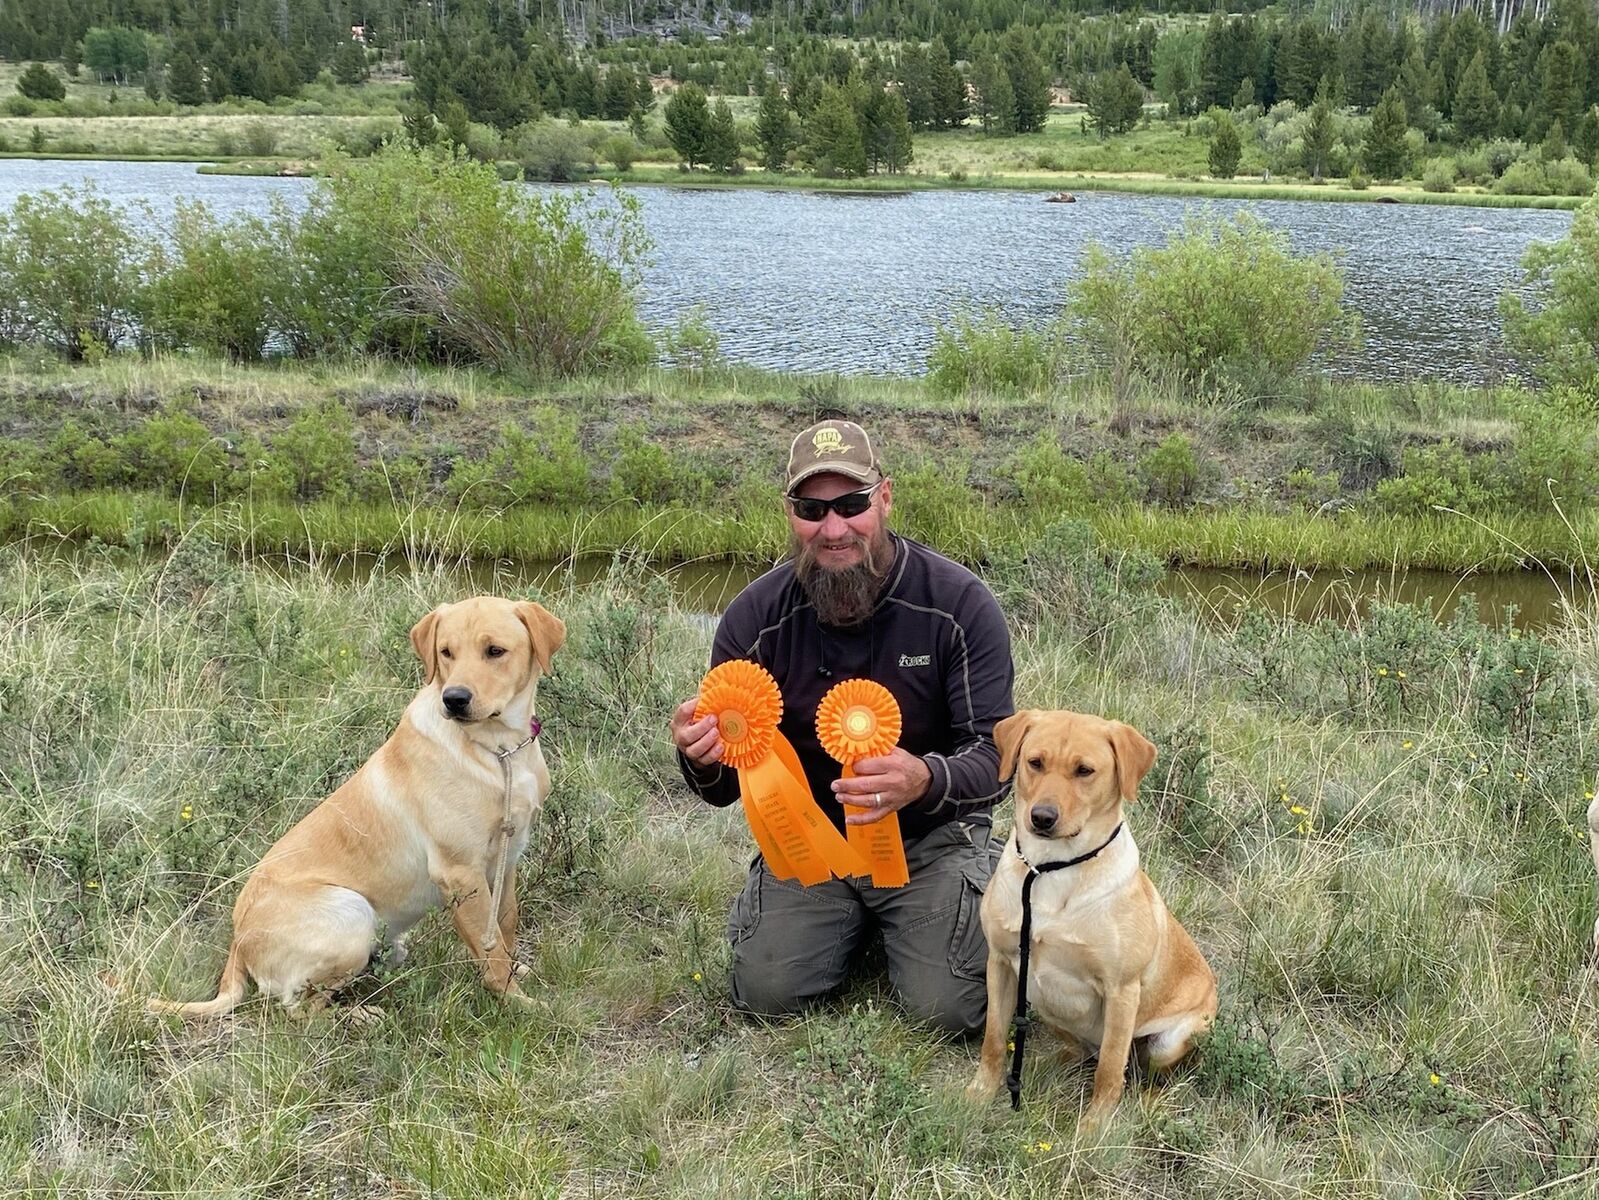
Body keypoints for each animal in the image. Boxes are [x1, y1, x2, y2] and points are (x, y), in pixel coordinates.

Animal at [149, 596, 565, 1018]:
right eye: (446, 652)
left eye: (495, 651)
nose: (454, 699)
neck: (500, 751)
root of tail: (238, 940)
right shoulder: (460, 872)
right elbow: (489, 948)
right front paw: (517, 1002)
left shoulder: (506, 860)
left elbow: (505, 926)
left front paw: (517, 970)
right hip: (353, 913)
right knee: (299, 1010)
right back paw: (360, 1016)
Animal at [966, 710, 1217, 1125]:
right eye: (1035, 762)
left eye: (1085, 771)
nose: (1042, 817)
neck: (1050, 869)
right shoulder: (1001, 964)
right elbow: (993, 1040)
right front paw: (981, 1093)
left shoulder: (1121, 991)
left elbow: (1110, 1071)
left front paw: (1094, 1129)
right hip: (1043, 1000)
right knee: (1082, 1051)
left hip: (1168, 1041)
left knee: (1139, 1071)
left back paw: (1153, 1105)